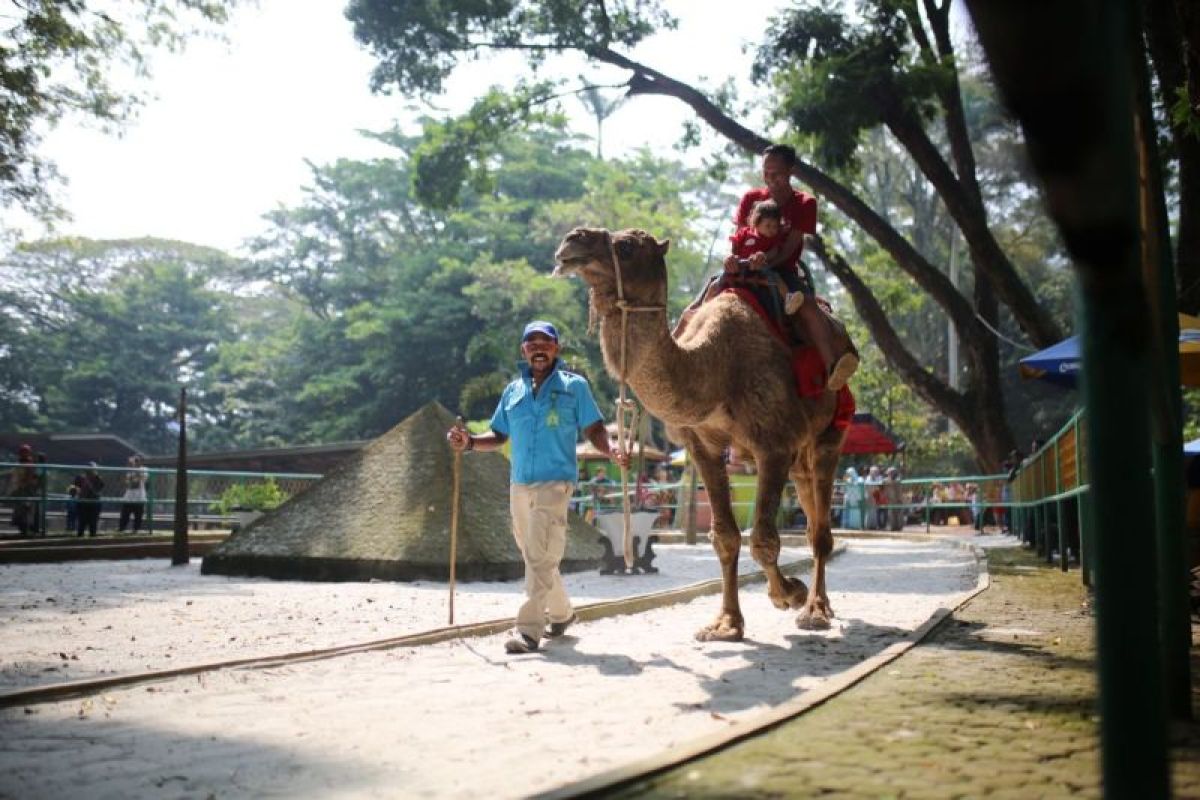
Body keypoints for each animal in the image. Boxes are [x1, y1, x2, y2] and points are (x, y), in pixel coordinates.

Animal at [556, 227, 849, 642]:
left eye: (626, 247)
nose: (571, 241)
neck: (715, 367)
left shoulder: (773, 444)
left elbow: (762, 538)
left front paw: (789, 593)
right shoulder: (702, 446)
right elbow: (725, 537)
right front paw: (726, 624)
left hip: (830, 431)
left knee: (821, 528)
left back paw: (816, 611)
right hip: (800, 452)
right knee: (809, 513)